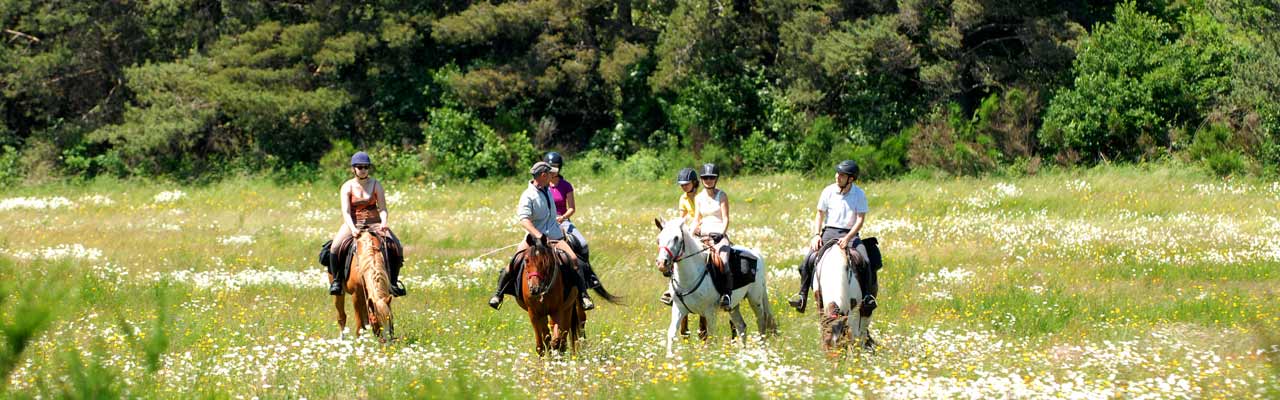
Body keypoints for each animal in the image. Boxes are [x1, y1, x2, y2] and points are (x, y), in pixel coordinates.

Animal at [655, 219, 773, 356]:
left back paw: (762, 351)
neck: (689, 276)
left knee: (761, 323)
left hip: (755, 299)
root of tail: (756, 254)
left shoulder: (709, 312)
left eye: (676, 238)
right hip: (733, 306)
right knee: (741, 326)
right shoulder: (678, 309)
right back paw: (742, 353)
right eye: (658, 239)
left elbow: (709, 337)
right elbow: (672, 333)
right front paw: (670, 357)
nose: (661, 263)